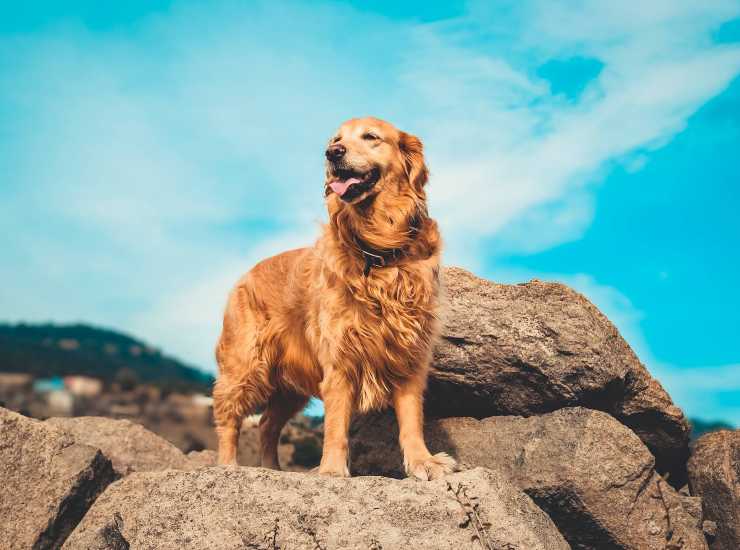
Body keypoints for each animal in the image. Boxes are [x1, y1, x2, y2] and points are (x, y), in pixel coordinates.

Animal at [214, 118, 454, 480]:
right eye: (336, 139)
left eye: (370, 137)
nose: (333, 153)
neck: (378, 250)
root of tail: (245, 275)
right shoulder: (340, 357)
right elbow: (336, 424)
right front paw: (330, 470)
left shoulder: (409, 353)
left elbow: (411, 419)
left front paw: (422, 462)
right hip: (246, 363)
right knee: (229, 414)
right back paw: (228, 465)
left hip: (289, 387)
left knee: (268, 423)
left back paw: (274, 469)